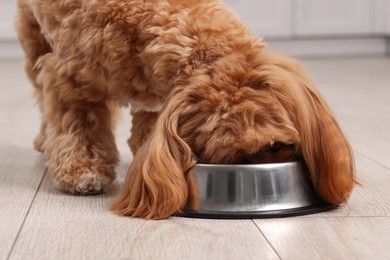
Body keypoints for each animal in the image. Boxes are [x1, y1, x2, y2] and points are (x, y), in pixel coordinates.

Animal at [16, 0, 354, 219]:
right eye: (233, 157)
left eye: (277, 147)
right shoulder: (69, 78)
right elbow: (79, 125)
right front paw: (83, 170)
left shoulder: (157, 97)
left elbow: (146, 129)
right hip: (35, 42)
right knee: (42, 97)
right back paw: (45, 141)